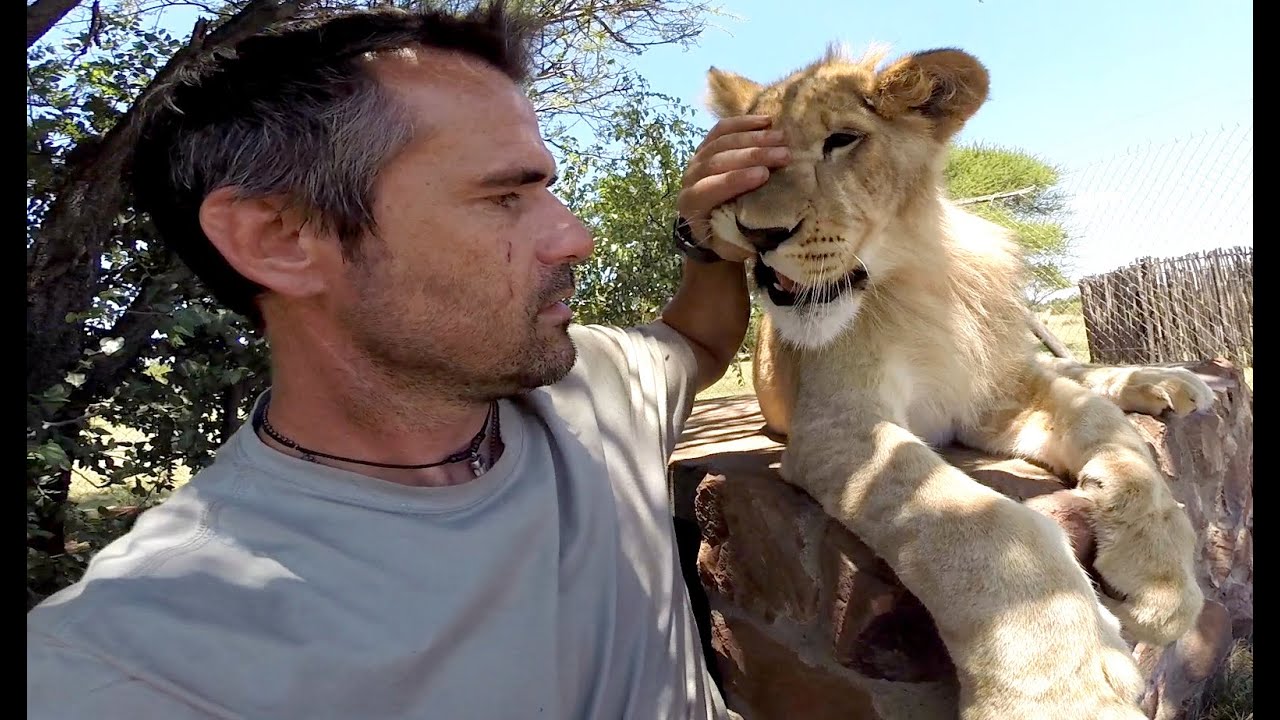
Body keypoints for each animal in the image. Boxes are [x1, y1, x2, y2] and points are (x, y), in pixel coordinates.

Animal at [696, 44, 1213, 718]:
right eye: (748, 162)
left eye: (842, 140)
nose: (757, 235)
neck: (916, 277)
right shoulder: (837, 422)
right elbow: (971, 518)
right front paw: (1057, 686)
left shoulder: (995, 397)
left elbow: (1106, 427)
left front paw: (1161, 581)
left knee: (1080, 373)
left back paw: (1167, 381)